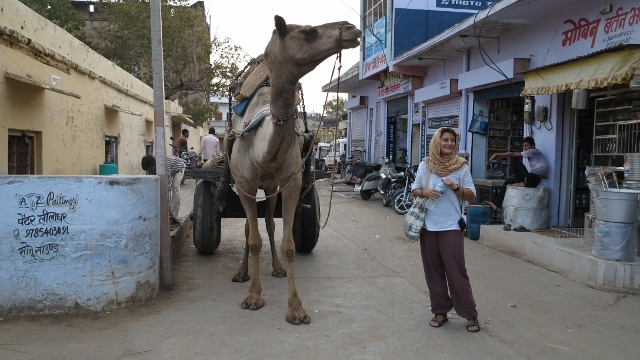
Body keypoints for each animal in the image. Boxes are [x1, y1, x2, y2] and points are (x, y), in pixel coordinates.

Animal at [228, 15, 362, 324]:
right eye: (309, 32)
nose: (352, 28)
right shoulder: (244, 184)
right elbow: (253, 239)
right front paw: (253, 297)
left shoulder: (290, 182)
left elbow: (288, 244)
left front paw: (297, 308)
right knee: (250, 228)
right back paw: (241, 273)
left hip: (271, 186)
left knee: (269, 222)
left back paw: (276, 268)